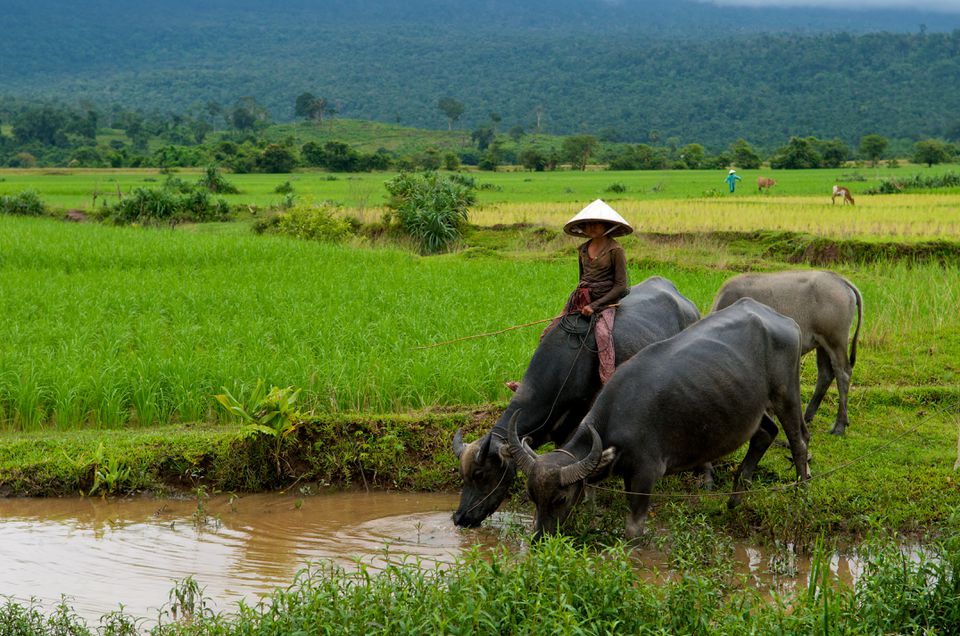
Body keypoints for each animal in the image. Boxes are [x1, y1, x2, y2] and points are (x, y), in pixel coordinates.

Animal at [712, 268, 864, 438]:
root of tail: (840, 280)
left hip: (835, 341)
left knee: (843, 372)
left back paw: (839, 426)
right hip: (822, 344)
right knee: (826, 373)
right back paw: (807, 415)